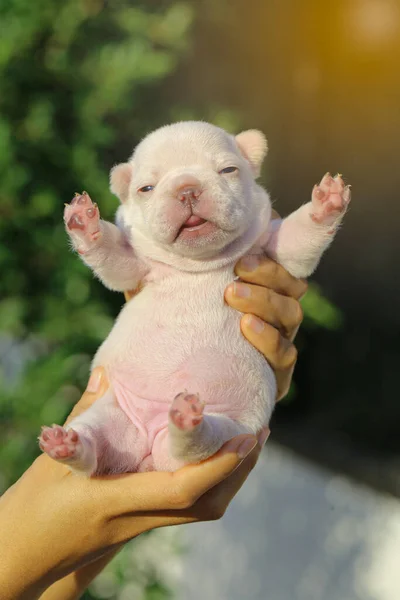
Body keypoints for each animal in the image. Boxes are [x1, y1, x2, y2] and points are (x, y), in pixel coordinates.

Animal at [37, 122, 350, 476]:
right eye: (146, 188)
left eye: (228, 170)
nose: (187, 189)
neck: (200, 263)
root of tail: (150, 450)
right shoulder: (134, 265)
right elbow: (112, 254)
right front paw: (83, 221)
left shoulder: (275, 247)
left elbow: (299, 237)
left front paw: (326, 204)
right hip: (111, 412)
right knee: (93, 454)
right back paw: (68, 444)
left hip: (231, 429)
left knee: (194, 446)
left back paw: (186, 423)